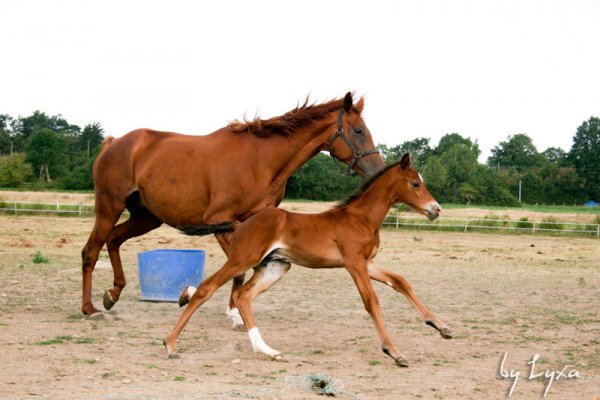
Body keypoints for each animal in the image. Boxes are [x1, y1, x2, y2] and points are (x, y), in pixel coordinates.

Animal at [164, 155, 450, 368]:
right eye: (414, 184)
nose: (435, 209)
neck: (360, 218)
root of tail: (241, 224)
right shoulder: (354, 263)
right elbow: (372, 302)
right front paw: (394, 352)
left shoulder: (366, 263)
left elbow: (400, 282)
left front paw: (441, 327)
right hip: (243, 259)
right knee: (207, 289)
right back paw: (170, 344)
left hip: (276, 266)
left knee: (243, 296)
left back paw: (268, 351)